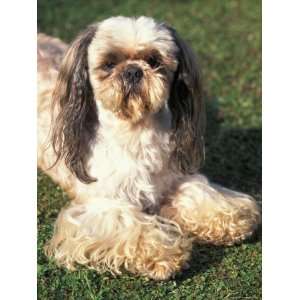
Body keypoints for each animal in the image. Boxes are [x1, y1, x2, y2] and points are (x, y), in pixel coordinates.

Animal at [38, 15, 260, 280]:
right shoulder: (104, 205)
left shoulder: (175, 178)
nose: (133, 70)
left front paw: (232, 220)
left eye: (154, 61)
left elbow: (198, 191)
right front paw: (163, 255)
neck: (136, 131)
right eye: (109, 64)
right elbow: (131, 226)